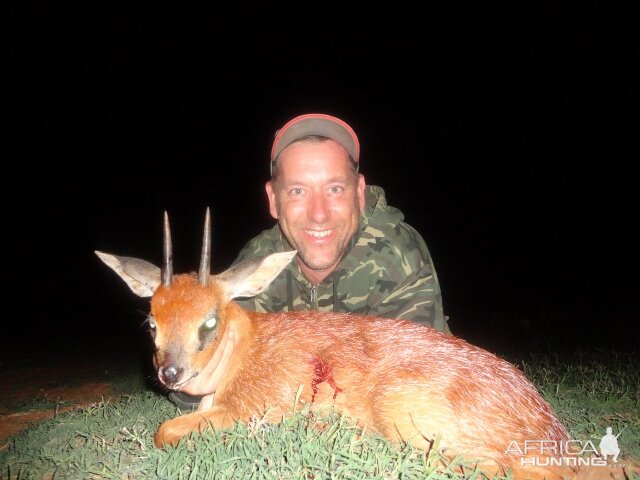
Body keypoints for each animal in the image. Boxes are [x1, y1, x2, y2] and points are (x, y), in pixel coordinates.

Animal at [97, 209, 576, 480]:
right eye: (152, 323)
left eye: (209, 321)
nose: (169, 372)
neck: (245, 353)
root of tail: (556, 439)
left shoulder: (254, 405)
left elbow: (164, 431)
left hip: (403, 406)